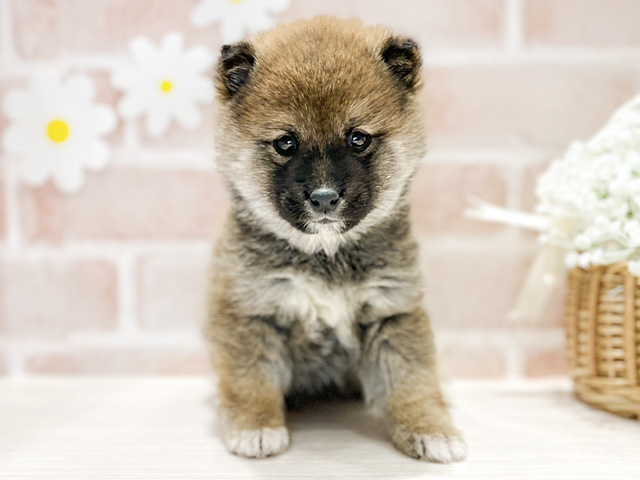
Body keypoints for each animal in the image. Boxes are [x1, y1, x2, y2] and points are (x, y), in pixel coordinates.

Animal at [209, 16, 464, 464]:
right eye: (286, 142)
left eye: (357, 138)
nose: (325, 197)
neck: (324, 255)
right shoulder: (250, 312)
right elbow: (250, 380)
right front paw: (256, 427)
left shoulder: (392, 311)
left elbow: (412, 380)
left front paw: (431, 428)